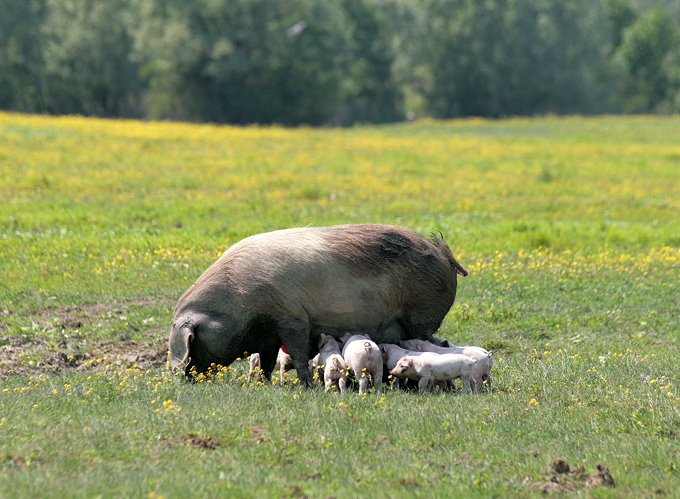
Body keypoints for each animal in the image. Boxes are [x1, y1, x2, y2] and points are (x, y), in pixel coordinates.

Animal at [169, 225, 468, 388]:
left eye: (193, 341)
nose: (184, 377)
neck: (240, 302)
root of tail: (442, 252)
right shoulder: (268, 335)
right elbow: (266, 361)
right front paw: (264, 384)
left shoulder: (291, 318)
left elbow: (300, 354)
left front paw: (305, 386)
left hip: (421, 314)